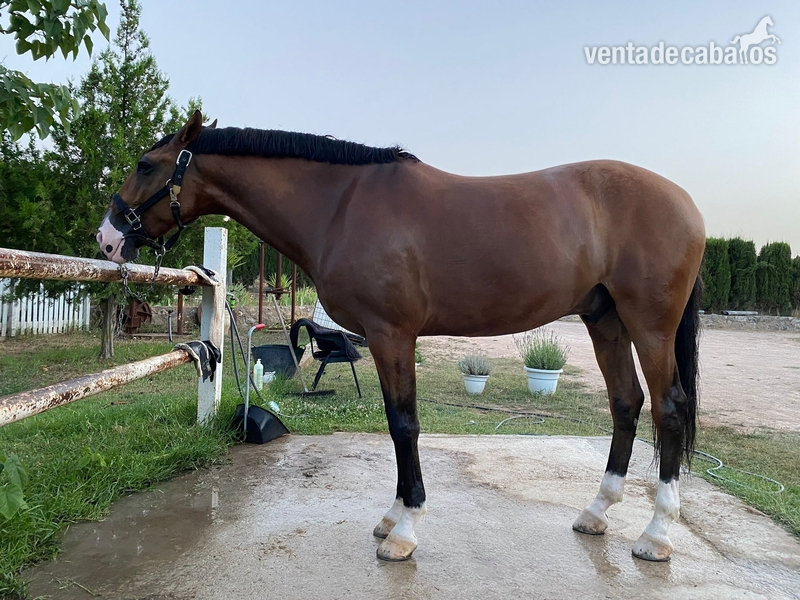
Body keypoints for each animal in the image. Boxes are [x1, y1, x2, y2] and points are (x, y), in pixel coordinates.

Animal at [97, 110, 705, 563]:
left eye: (146, 165)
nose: (106, 238)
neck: (341, 206)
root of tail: (687, 204)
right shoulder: (384, 338)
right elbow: (396, 424)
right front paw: (392, 517)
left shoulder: (393, 335)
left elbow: (404, 424)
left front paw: (405, 531)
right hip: (605, 321)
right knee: (626, 403)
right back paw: (596, 513)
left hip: (648, 325)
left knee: (669, 408)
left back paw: (656, 535)